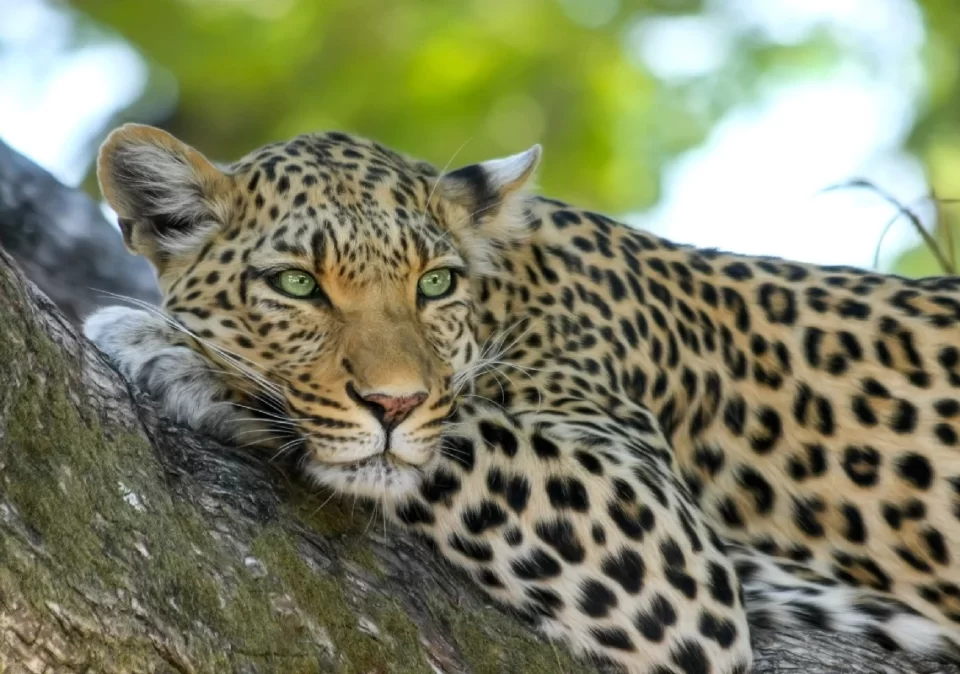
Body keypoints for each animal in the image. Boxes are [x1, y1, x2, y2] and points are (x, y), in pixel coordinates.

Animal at [83, 122, 960, 673]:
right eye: (297, 284)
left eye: (434, 284)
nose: (394, 405)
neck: (509, 294)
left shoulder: (664, 542)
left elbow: (462, 433)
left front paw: (174, 352)